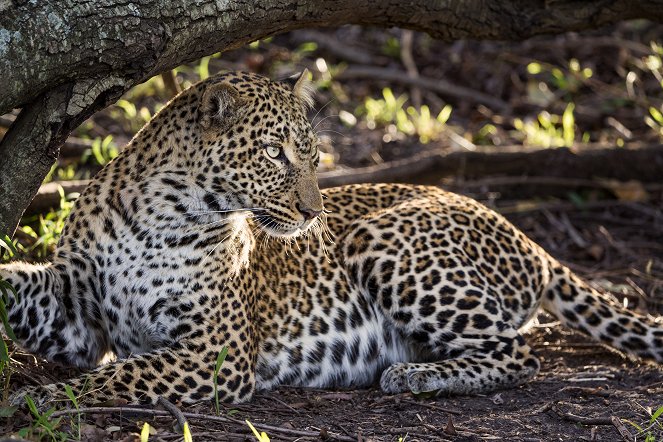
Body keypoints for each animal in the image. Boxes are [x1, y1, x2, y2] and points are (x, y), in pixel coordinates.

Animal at [1, 71, 663, 410]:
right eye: (274, 153)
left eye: (313, 154)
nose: (313, 211)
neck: (163, 211)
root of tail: (528, 240)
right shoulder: (76, 313)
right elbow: (22, 291)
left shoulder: (215, 353)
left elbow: (115, 378)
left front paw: (35, 406)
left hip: (384, 240)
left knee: (519, 352)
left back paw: (414, 378)